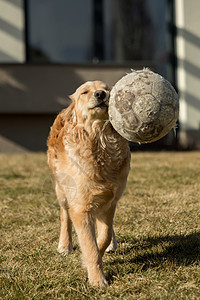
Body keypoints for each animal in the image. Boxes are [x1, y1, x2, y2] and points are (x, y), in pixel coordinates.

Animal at [47, 81, 130, 288]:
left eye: (107, 89)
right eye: (84, 92)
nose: (100, 94)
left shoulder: (110, 201)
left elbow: (104, 234)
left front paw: (102, 248)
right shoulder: (80, 208)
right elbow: (90, 246)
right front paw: (97, 280)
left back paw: (111, 244)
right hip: (61, 190)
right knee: (64, 216)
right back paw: (64, 245)